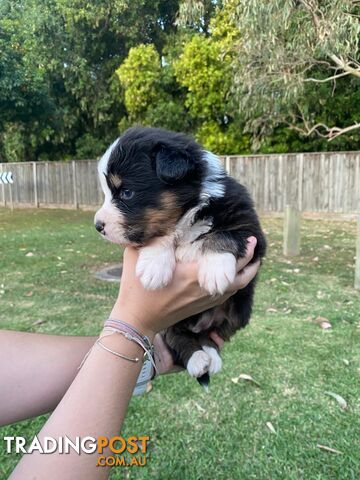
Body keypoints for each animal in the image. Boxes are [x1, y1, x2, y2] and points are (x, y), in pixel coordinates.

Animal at [94, 126, 266, 386]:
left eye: (126, 192)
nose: (97, 226)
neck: (188, 214)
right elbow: (159, 237)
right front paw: (154, 268)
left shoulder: (252, 231)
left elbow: (223, 235)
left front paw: (214, 271)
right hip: (173, 321)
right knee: (177, 335)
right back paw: (197, 359)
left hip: (240, 311)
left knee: (209, 335)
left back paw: (210, 356)